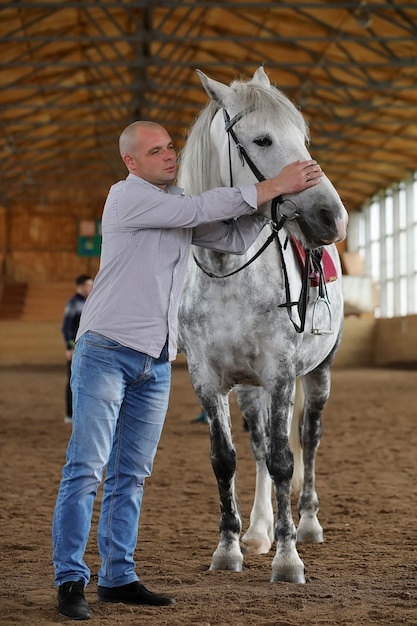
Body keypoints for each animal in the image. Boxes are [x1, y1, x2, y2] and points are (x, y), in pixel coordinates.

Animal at [176, 66, 348, 584]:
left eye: (302, 138)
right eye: (263, 139)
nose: (332, 217)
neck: (227, 272)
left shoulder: (280, 375)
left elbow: (284, 460)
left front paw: (288, 559)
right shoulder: (208, 381)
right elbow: (225, 460)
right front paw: (229, 548)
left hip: (316, 374)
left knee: (308, 438)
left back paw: (306, 524)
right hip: (251, 390)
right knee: (256, 448)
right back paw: (258, 531)